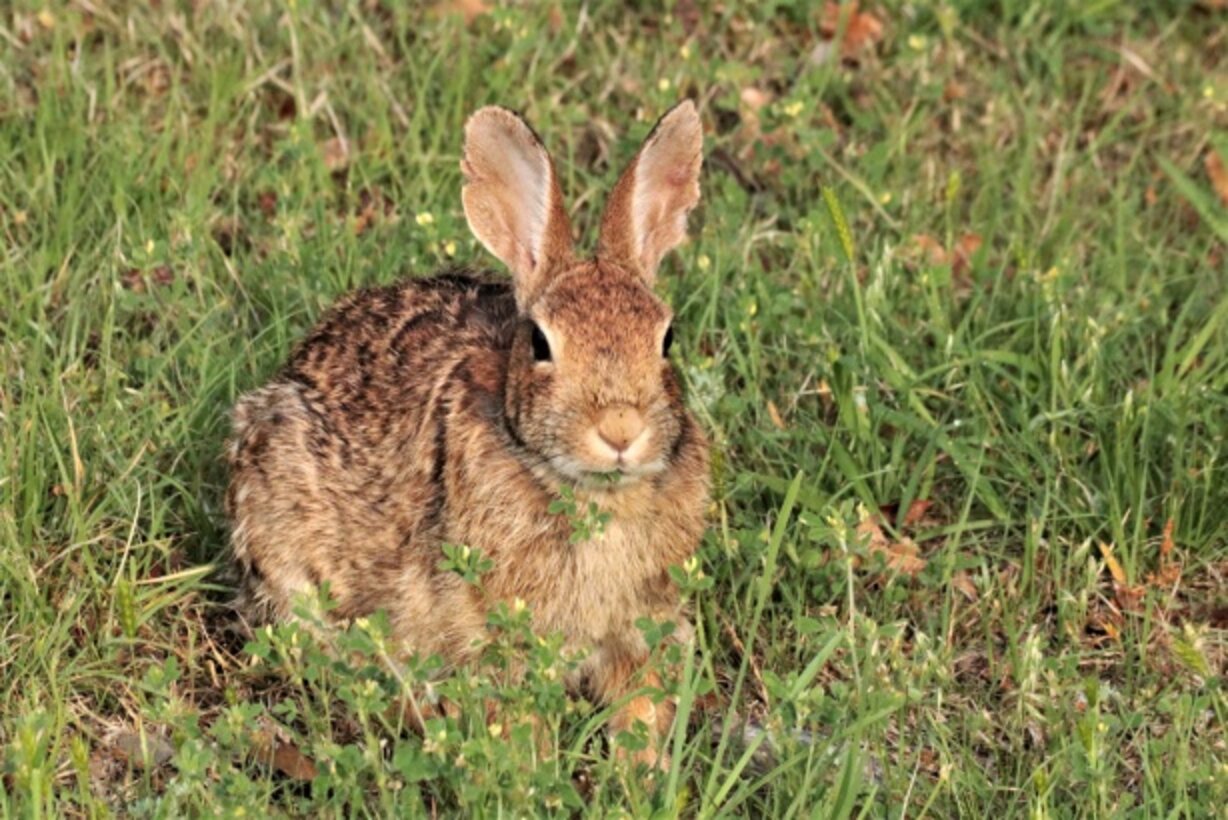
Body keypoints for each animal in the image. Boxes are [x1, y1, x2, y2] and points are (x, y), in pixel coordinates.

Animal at [226, 101, 710, 767]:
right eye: (540, 344)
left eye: (667, 339)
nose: (620, 429)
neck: (588, 494)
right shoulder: (487, 628)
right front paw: (531, 769)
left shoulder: (640, 627)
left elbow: (639, 708)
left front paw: (644, 772)